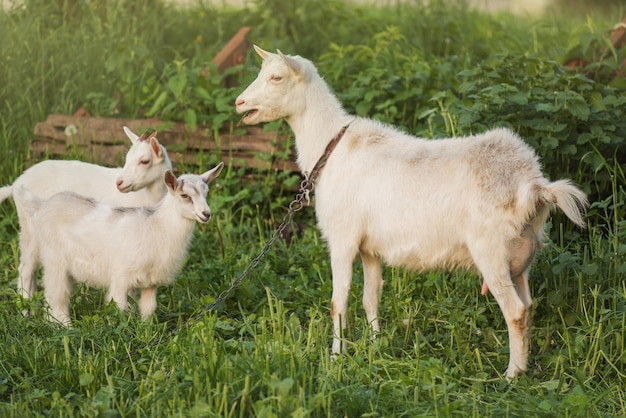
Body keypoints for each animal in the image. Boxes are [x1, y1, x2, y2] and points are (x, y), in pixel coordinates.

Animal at [14, 164, 224, 326]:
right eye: (184, 196)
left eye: (206, 193)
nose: (206, 214)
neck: (155, 227)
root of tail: (42, 204)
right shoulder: (121, 278)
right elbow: (120, 309)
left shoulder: (150, 282)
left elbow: (148, 309)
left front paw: (146, 333)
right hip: (52, 256)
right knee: (53, 290)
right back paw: (63, 326)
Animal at [235, 45, 588, 378]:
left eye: (276, 77)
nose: (239, 103)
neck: (330, 147)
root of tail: (535, 185)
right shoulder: (369, 247)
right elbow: (370, 296)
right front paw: (375, 346)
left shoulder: (343, 237)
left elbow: (339, 301)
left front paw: (336, 358)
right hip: (522, 255)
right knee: (528, 307)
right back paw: (525, 366)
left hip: (492, 250)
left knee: (514, 311)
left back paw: (511, 375)